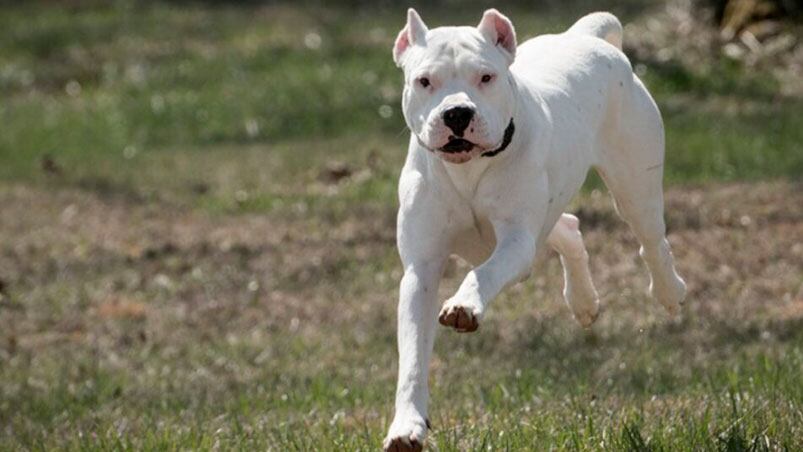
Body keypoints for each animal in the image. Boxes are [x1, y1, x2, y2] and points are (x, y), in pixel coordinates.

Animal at [386, 8, 688, 450]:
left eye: (486, 77)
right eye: (424, 81)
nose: (457, 113)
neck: (469, 170)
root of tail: (584, 36)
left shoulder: (515, 241)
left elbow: (484, 272)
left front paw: (464, 305)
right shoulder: (421, 270)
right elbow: (412, 355)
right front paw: (406, 426)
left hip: (635, 184)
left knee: (651, 240)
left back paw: (669, 291)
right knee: (569, 228)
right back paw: (583, 301)